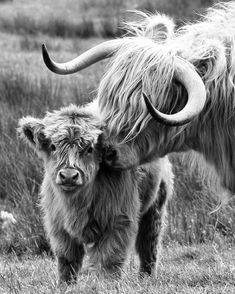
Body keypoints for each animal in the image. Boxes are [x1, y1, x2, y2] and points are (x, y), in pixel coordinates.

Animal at [18, 103, 173, 282]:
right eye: (53, 146)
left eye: (89, 148)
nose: (69, 176)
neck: (77, 202)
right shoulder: (57, 225)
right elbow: (67, 260)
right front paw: (65, 285)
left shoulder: (118, 220)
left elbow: (109, 260)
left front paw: (107, 284)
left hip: (156, 205)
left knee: (148, 244)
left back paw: (146, 277)